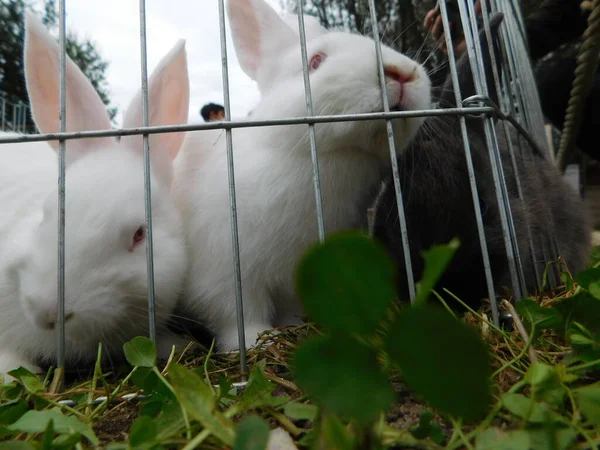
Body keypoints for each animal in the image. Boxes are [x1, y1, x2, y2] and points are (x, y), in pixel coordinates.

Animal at [173, 0, 432, 352]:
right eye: (316, 61)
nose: (401, 73)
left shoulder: (295, 280)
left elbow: (291, 310)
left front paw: (294, 328)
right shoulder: (224, 274)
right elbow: (235, 315)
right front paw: (258, 342)